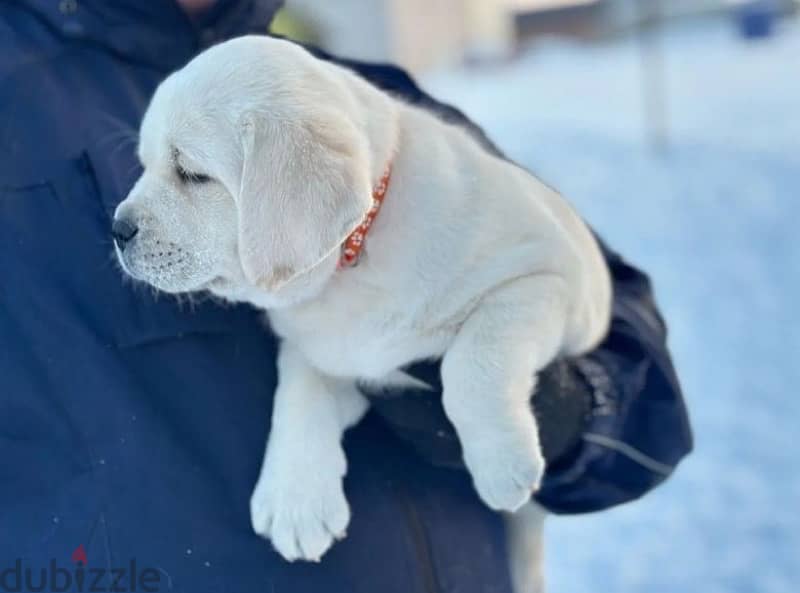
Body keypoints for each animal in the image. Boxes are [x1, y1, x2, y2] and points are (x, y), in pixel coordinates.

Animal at [112, 37, 612, 588]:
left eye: (192, 174)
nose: (117, 229)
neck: (358, 251)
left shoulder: (548, 279)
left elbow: (474, 361)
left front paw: (502, 462)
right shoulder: (324, 348)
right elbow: (298, 390)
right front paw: (295, 498)